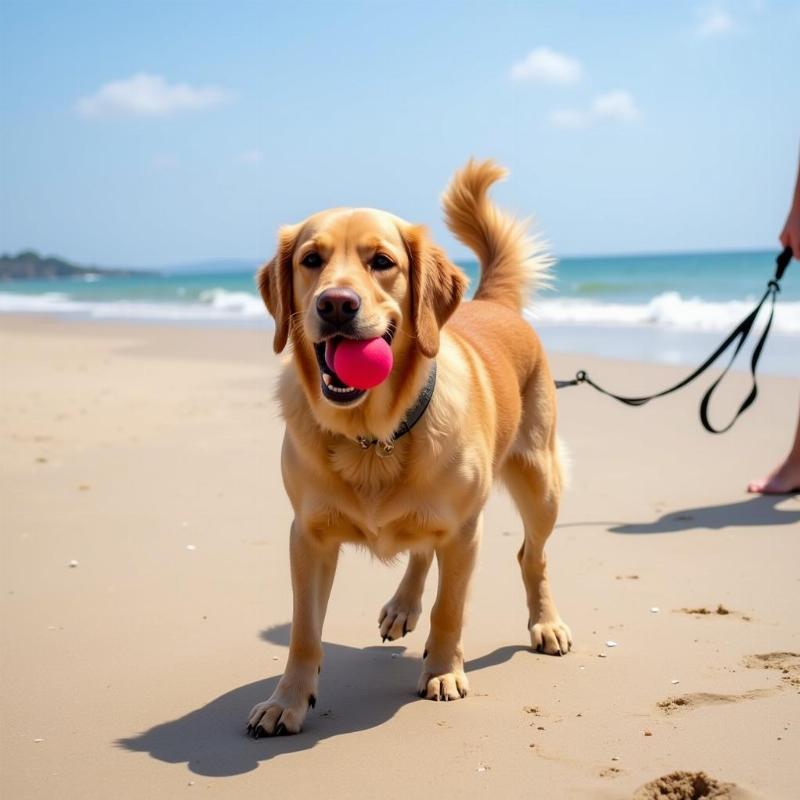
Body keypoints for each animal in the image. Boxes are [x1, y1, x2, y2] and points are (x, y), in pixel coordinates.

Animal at [247, 158, 572, 736]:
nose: (336, 304)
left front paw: (443, 672)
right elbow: (304, 631)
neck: (372, 435)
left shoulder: (465, 532)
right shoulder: (307, 537)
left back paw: (546, 623)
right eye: (311, 260)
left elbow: (450, 609)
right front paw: (287, 699)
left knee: (531, 556)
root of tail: (491, 303)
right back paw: (402, 605)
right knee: (422, 550)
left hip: (541, 483)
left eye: (382, 262)